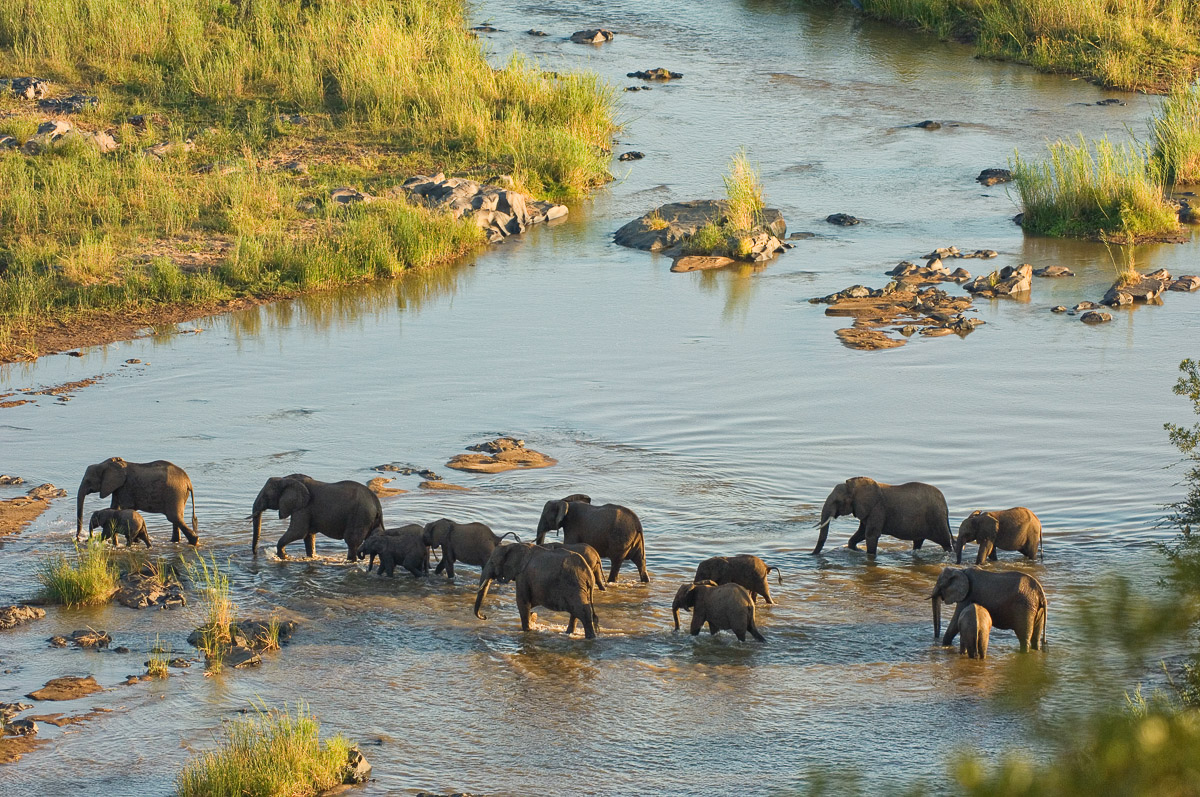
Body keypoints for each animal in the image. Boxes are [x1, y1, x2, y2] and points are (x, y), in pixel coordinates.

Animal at [250, 474, 384, 560]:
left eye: (266, 496)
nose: (256, 554)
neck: (286, 479)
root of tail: (377, 503)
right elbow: (308, 536)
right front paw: (310, 557)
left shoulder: (303, 508)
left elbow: (298, 532)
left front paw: (284, 557)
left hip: (360, 516)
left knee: (352, 542)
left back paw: (351, 561)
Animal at [814, 477, 953, 556]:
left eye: (838, 502)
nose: (812, 555)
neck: (854, 486)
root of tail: (946, 505)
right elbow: (861, 533)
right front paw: (857, 550)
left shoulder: (877, 508)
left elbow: (870, 535)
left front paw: (869, 554)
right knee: (918, 542)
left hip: (936, 519)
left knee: (946, 544)